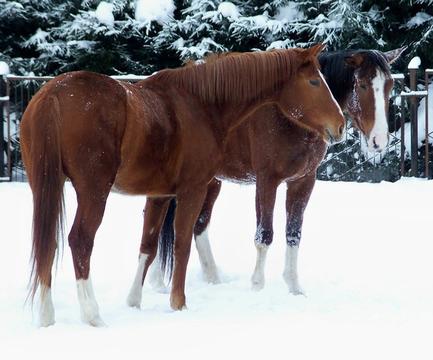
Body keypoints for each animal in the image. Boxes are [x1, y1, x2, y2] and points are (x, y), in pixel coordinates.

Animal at [20, 44, 346, 326]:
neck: (202, 105)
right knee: (80, 241)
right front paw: (179, 303)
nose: (340, 124)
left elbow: (148, 246)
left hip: (45, 187)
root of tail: (53, 93)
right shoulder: (194, 190)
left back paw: (46, 315)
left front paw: (134, 301)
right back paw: (92, 314)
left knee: (47, 242)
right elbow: (183, 244)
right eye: (314, 81)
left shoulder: (159, 196)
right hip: (93, 192)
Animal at [149, 46, 404, 292]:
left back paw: (212, 277)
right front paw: (257, 286)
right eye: (362, 85)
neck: (291, 116)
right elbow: (264, 234)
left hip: (211, 181)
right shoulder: (266, 181)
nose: (379, 140)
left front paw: (294, 287)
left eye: (390, 85)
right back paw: (158, 282)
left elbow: (293, 233)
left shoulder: (303, 181)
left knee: (198, 226)